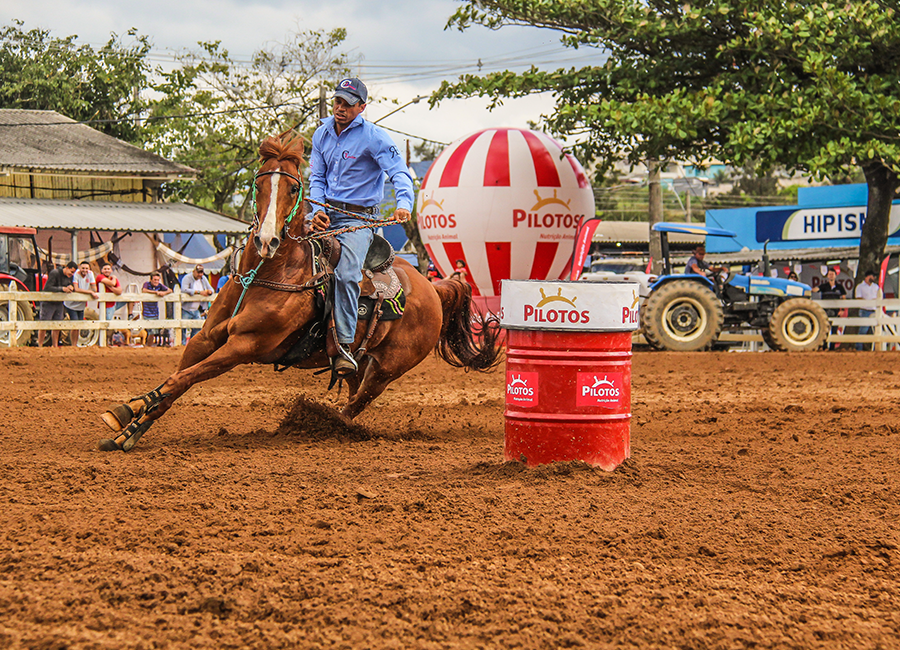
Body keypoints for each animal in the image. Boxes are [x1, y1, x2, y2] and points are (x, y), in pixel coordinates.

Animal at [103, 132, 506, 450]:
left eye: (294, 187)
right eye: (258, 183)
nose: (266, 240)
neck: (267, 273)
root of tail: (434, 287)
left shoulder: (243, 346)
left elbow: (183, 378)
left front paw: (128, 418)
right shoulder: (206, 337)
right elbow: (178, 379)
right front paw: (129, 423)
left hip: (389, 368)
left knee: (358, 402)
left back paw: (329, 423)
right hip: (359, 359)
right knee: (353, 384)